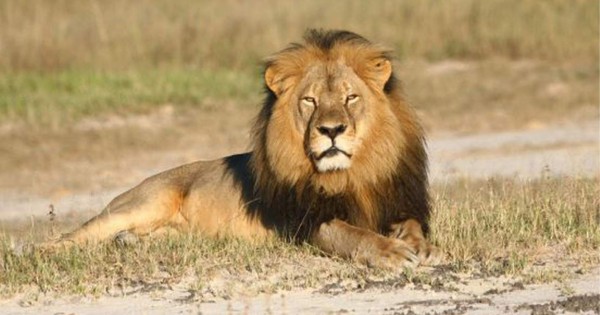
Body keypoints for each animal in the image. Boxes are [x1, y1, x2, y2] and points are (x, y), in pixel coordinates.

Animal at [45, 29, 440, 270]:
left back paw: (129, 243)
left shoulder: (397, 201)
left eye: (350, 97)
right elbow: (353, 234)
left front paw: (419, 245)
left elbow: (411, 224)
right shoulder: (306, 223)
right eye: (310, 101)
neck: (351, 174)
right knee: (72, 236)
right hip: (142, 203)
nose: (331, 130)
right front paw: (392, 252)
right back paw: (41, 254)